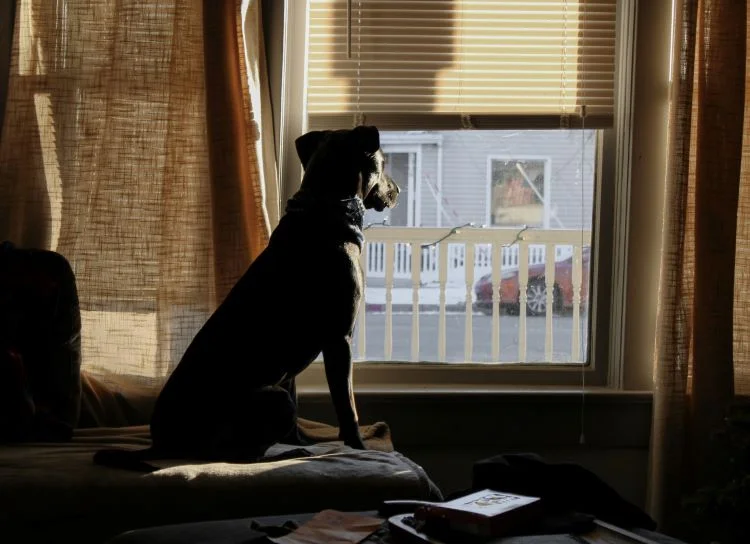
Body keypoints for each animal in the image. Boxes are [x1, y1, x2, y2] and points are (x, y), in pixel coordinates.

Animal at [95, 125, 400, 470]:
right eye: (383, 163)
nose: (397, 190)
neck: (326, 205)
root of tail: (162, 444)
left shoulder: (290, 365)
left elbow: (298, 411)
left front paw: (302, 440)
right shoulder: (339, 340)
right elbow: (347, 408)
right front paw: (358, 447)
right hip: (270, 399)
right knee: (240, 457)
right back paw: (288, 456)